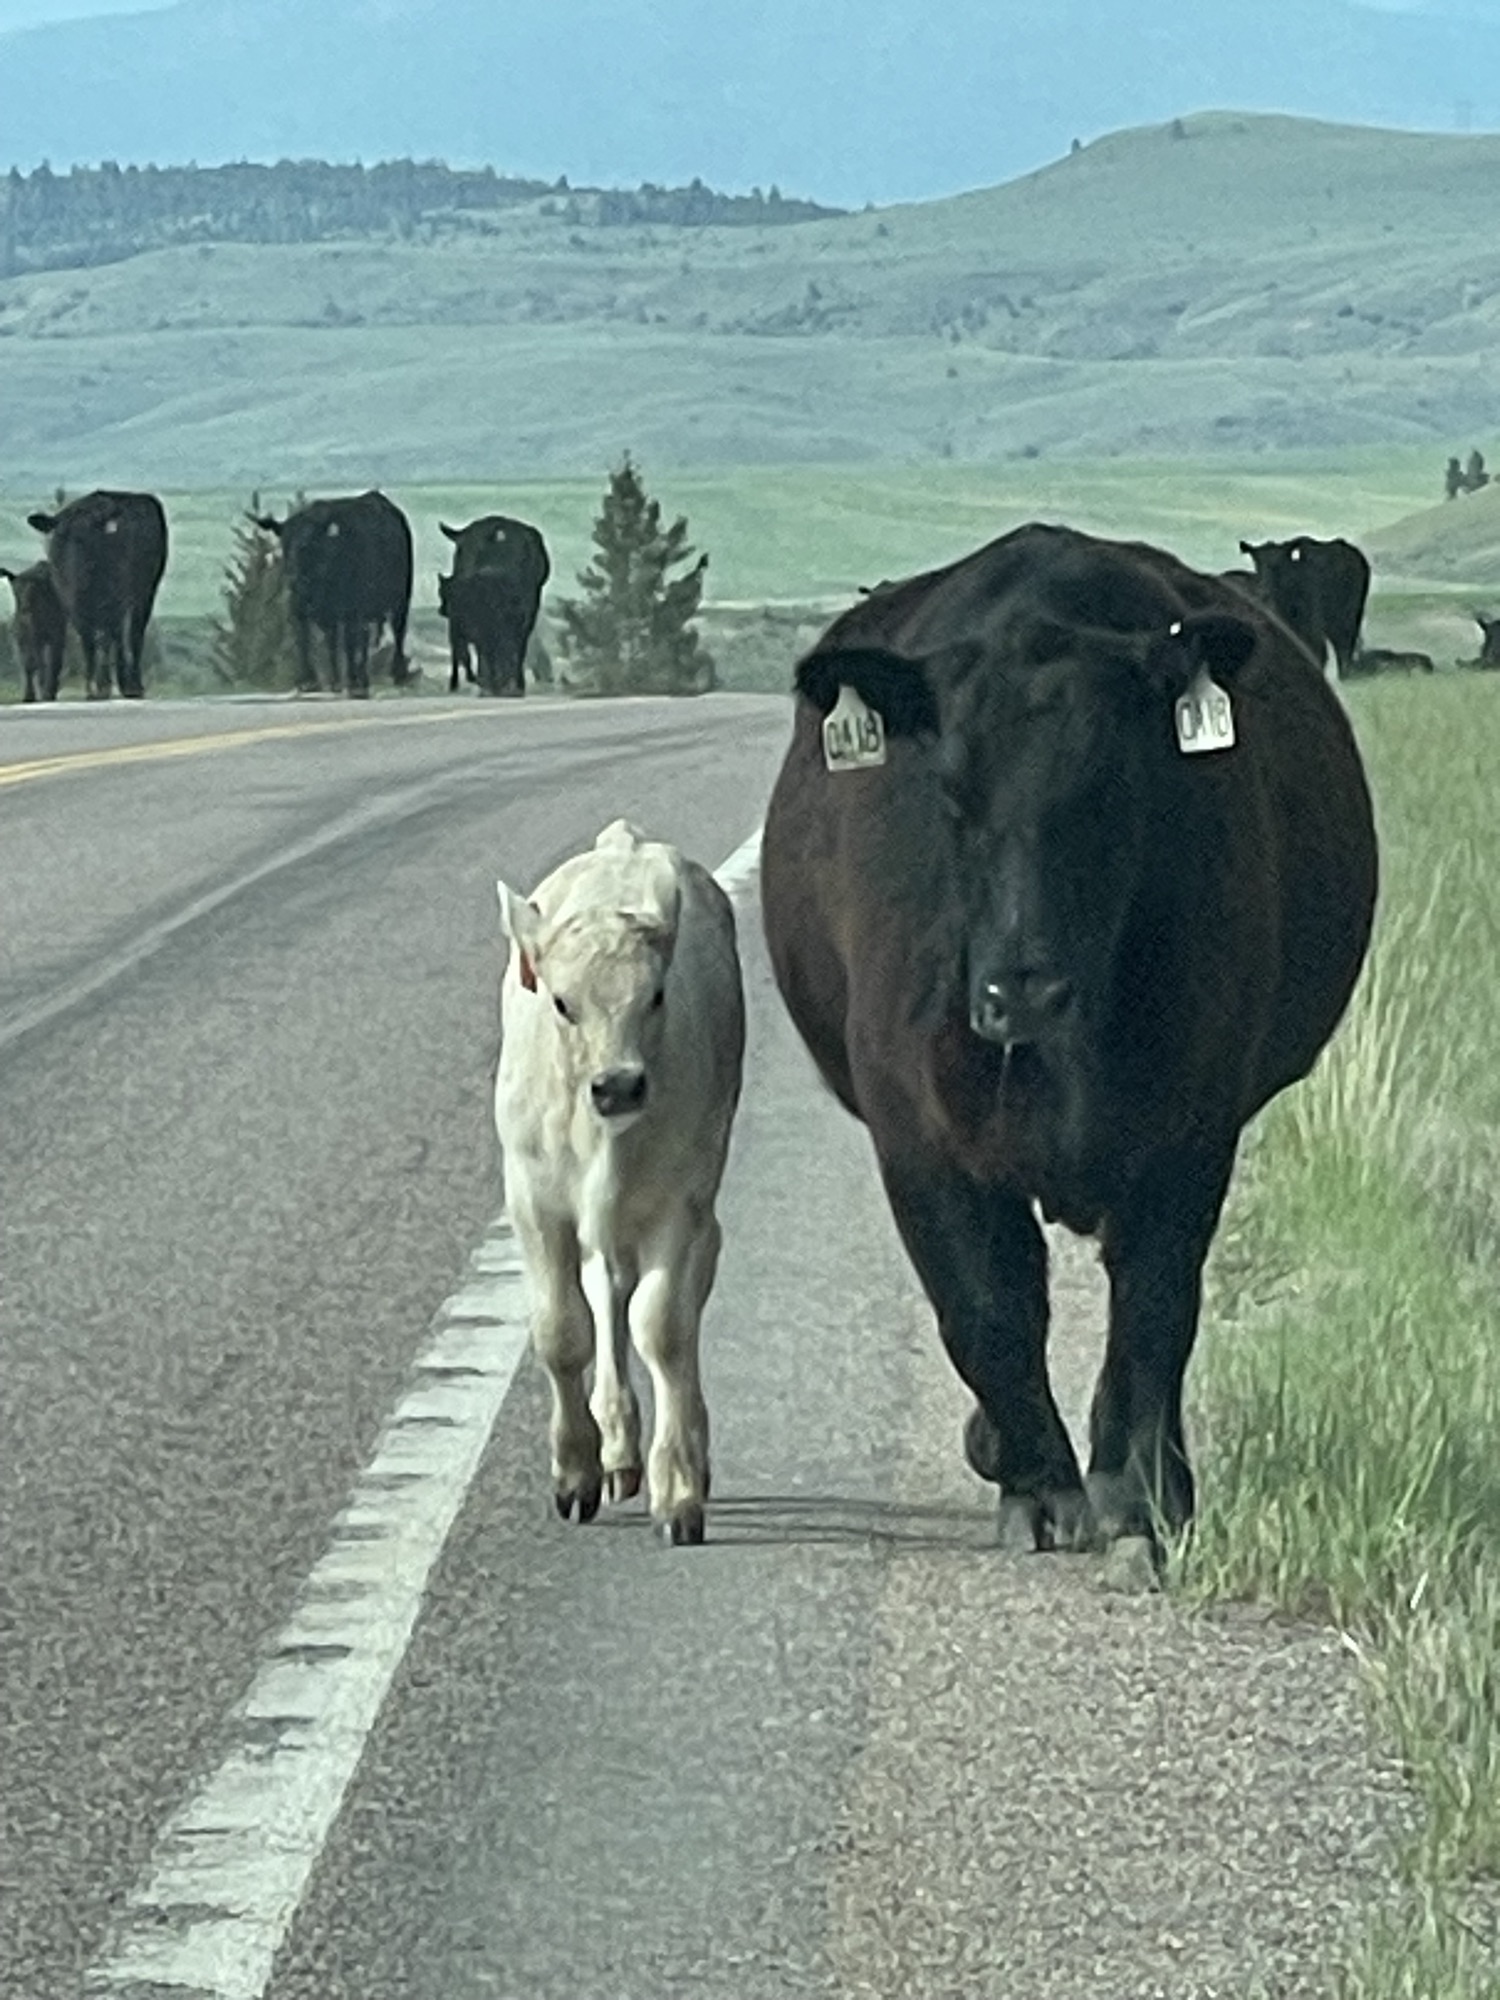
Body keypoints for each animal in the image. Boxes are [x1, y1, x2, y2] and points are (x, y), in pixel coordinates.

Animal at [1, 562, 68, 702]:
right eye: (15, 592)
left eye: (34, 592)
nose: (25, 610)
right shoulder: (23, 635)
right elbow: (28, 662)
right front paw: (28, 696)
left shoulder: (55, 632)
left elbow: (52, 661)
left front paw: (47, 693)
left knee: (53, 660)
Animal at [26, 490, 168, 699]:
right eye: (60, 537)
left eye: (88, 538)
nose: (75, 572)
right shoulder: (73, 603)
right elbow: (89, 641)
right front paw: (94, 686)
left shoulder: (119, 598)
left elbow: (110, 637)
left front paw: (105, 685)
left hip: (143, 593)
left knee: (131, 634)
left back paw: (131, 684)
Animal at [252, 491, 412, 698]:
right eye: (284, 542)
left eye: (308, 543)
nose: (292, 574)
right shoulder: (300, 608)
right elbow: (305, 640)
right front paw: (309, 681)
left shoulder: (352, 609)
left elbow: (349, 643)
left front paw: (353, 683)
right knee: (353, 641)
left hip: (400, 598)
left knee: (396, 631)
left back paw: (396, 674)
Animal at [495, 819, 746, 1545]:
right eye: (562, 1002)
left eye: (655, 994)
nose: (620, 1085)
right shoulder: (534, 1202)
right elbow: (561, 1330)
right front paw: (574, 1473)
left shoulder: (678, 1203)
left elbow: (662, 1327)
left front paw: (679, 1489)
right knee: (603, 1291)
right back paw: (616, 1452)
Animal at [1238, 535, 1371, 680]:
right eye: (1257, 563)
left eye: (1278, 566)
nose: (1263, 593)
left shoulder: (1313, 624)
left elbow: (1318, 652)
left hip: (1350, 613)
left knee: (1345, 643)